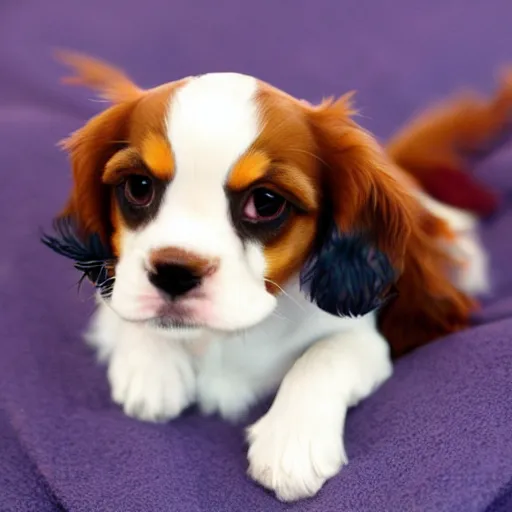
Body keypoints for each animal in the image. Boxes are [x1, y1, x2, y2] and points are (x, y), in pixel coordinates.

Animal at [44, 54, 508, 502]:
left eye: (265, 202)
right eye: (138, 187)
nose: (174, 272)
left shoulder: (365, 336)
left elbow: (325, 355)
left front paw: (291, 442)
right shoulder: (116, 287)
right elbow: (121, 308)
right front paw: (152, 368)